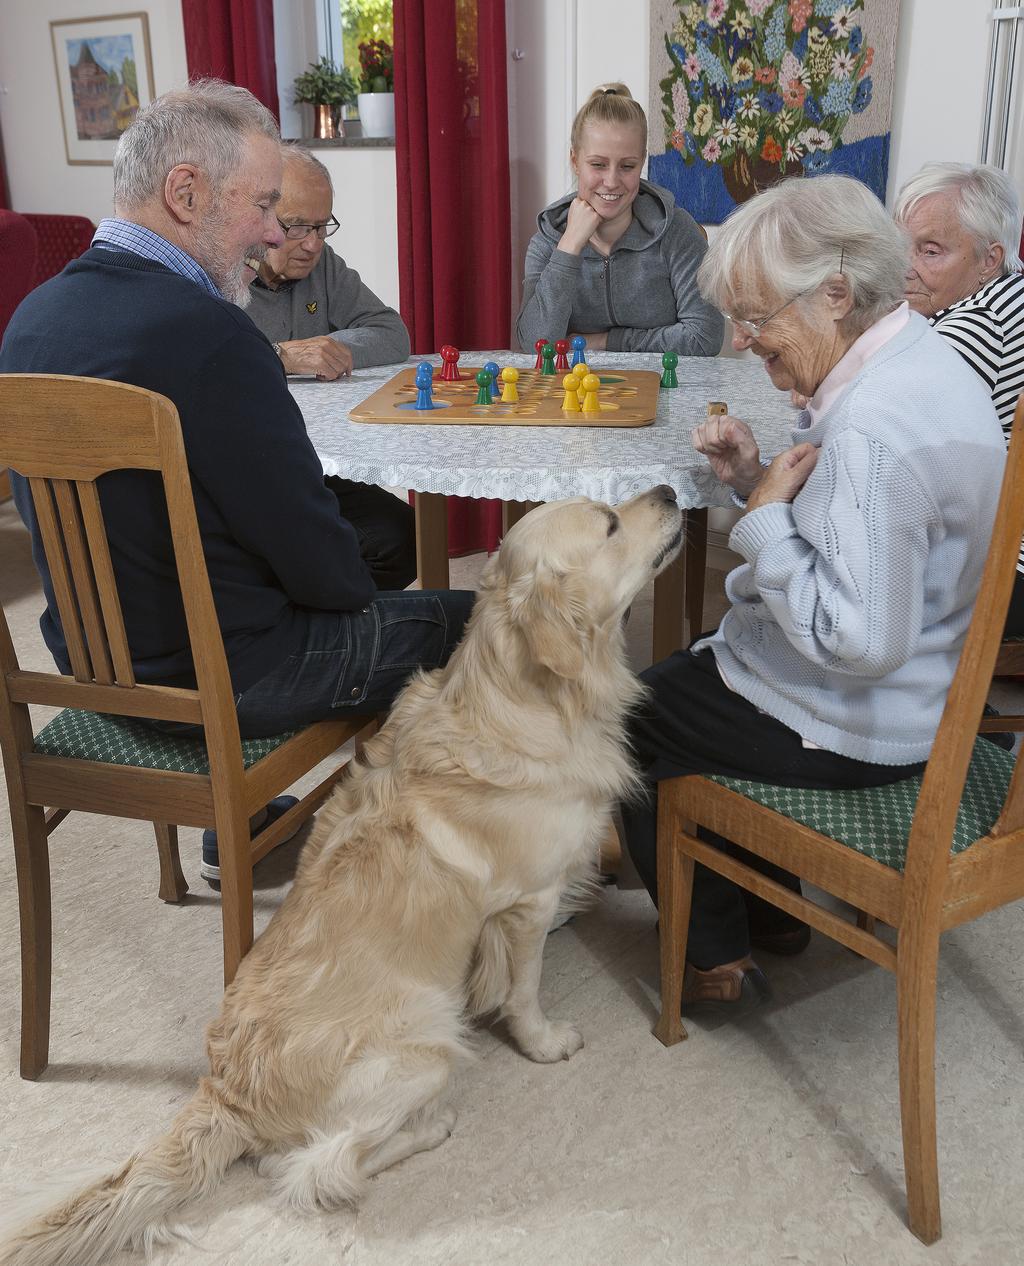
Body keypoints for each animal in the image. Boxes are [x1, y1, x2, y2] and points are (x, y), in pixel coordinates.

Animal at [6, 486, 688, 1266]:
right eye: (609, 523)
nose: (672, 492)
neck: (523, 697)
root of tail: (228, 1094)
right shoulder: (526, 905)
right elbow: (523, 991)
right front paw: (545, 1043)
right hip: (424, 1044)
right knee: (313, 1167)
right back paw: (430, 1126)